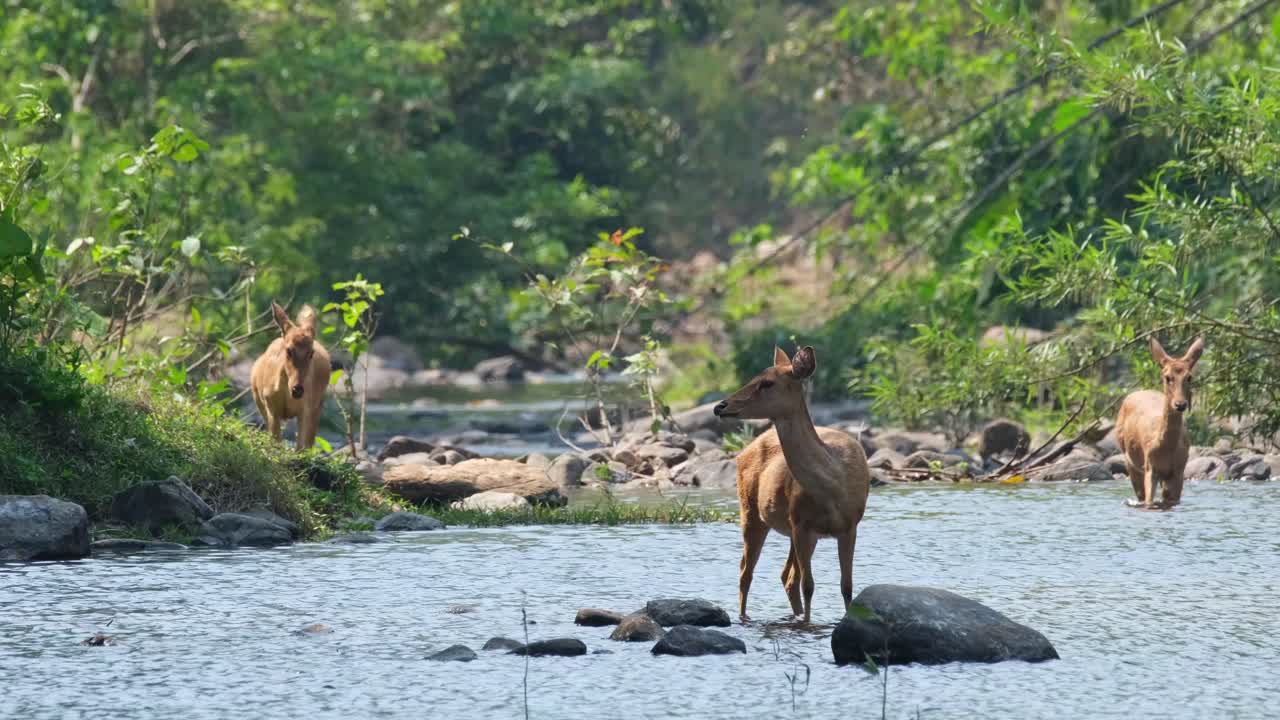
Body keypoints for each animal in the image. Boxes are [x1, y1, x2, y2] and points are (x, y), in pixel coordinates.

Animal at [250, 301, 332, 450]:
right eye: (288, 350)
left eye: (311, 353)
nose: (298, 389)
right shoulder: (271, 408)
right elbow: (276, 444)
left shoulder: (305, 409)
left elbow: (300, 448)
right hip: (259, 402)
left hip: (318, 404)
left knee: (310, 443)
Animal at [713, 346, 871, 624]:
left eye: (767, 382)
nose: (719, 406)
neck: (833, 486)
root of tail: (745, 450)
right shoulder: (801, 525)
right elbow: (809, 585)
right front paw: (807, 624)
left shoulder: (849, 526)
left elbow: (847, 586)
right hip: (751, 511)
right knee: (747, 572)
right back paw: (744, 617)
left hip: (790, 528)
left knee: (786, 576)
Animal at [1116, 336, 1205, 509]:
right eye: (1167, 377)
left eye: (1189, 377)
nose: (1180, 404)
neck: (1165, 448)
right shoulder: (1150, 468)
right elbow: (1149, 500)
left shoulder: (1178, 471)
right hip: (1129, 460)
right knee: (1140, 494)